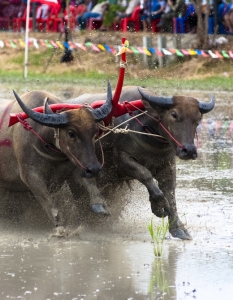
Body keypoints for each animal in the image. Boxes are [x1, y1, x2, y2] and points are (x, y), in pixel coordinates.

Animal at [0, 83, 113, 231]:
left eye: (95, 131)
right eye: (71, 133)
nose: (94, 169)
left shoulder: (76, 166)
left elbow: (91, 185)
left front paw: (101, 206)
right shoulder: (30, 175)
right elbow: (51, 206)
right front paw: (60, 228)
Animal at [67, 85, 215, 240]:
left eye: (198, 118)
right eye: (174, 114)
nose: (189, 150)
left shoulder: (167, 165)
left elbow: (170, 194)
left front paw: (179, 229)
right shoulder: (122, 160)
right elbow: (146, 175)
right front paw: (159, 206)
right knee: (84, 186)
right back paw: (96, 209)